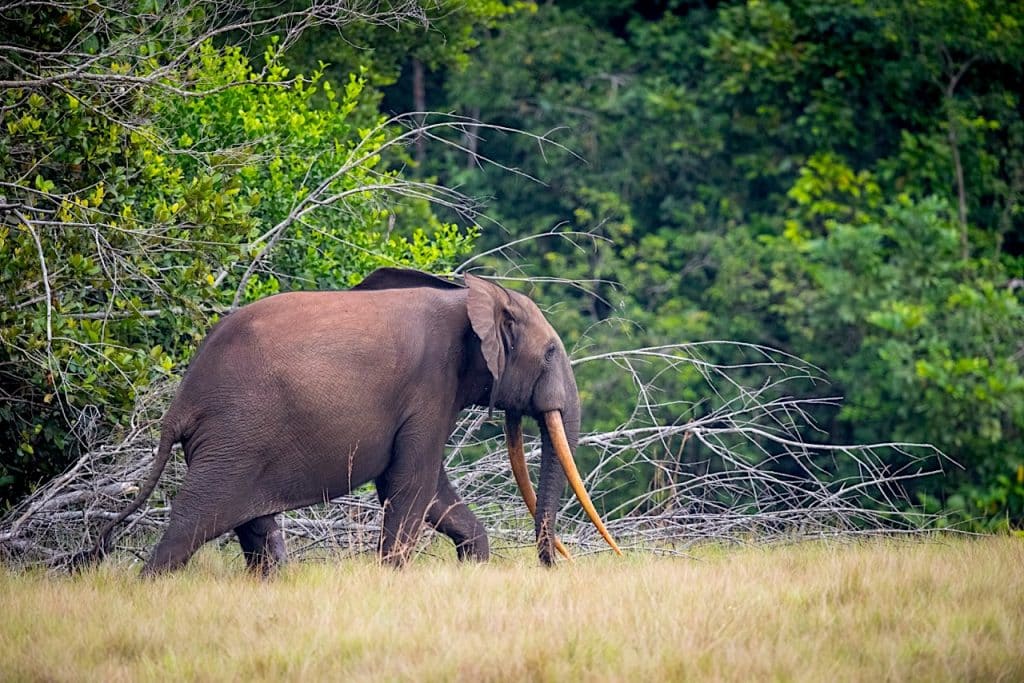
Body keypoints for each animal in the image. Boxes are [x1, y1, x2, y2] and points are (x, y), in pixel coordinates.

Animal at [79, 268, 618, 577]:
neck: (474, 298)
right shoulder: (429, 386)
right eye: (550, 353)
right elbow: (412, 484)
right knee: (193, 524)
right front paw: (393, 578)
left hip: (236, 443)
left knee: (254, 527)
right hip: (236, 435)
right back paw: (150, 585)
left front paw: (474, 569)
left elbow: (430, 491)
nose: (550, 566)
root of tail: (180, 404)